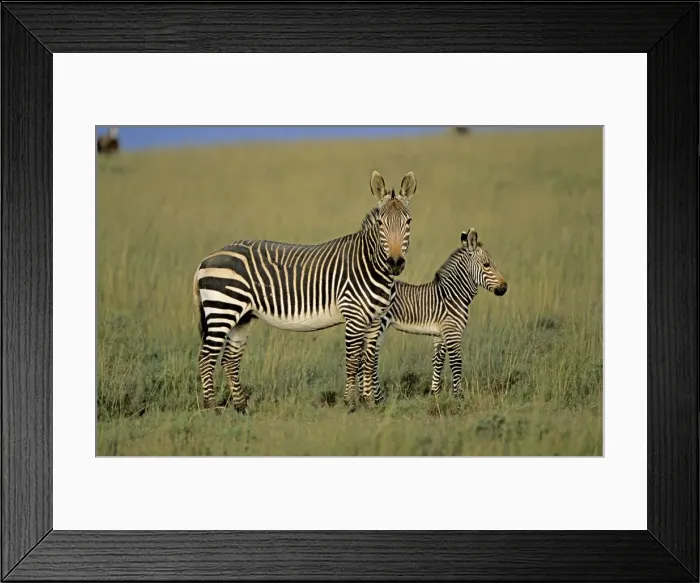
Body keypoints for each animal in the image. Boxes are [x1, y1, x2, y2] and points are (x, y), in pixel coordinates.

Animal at [192, 170, 418, 414]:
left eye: (408, 222)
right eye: (380, 223)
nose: (395, 263)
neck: (370, 264)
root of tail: (207, 258)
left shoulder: (375, 320)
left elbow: (368, 361)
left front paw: (369, 404)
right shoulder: (354, 316)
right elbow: (353, 361)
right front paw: (350, 404)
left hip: (243, 316)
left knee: (229, 359)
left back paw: (242, 407)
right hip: (222, 310)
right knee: (206, 358)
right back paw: (211, 408)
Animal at [358, 225, 507, 397]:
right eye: (487, 265)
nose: (504, 288)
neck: (453, 295)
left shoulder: (440, 334)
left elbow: (438, 361)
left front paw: (435, 392)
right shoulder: (452, 331)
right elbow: (456, 362)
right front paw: (458, 396)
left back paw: (364, 395)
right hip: (379, 325)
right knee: (370, 358)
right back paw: (374, 395)